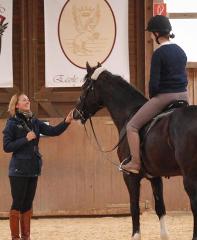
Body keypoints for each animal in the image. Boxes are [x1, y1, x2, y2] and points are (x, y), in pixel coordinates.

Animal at [72, 62, 197, 239]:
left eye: (84, 87)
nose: (75, 114)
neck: (129, 113)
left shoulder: (130, 176)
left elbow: (134, 207)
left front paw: (135, 235)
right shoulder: (155, 177)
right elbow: (160, 207)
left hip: (190, 177)